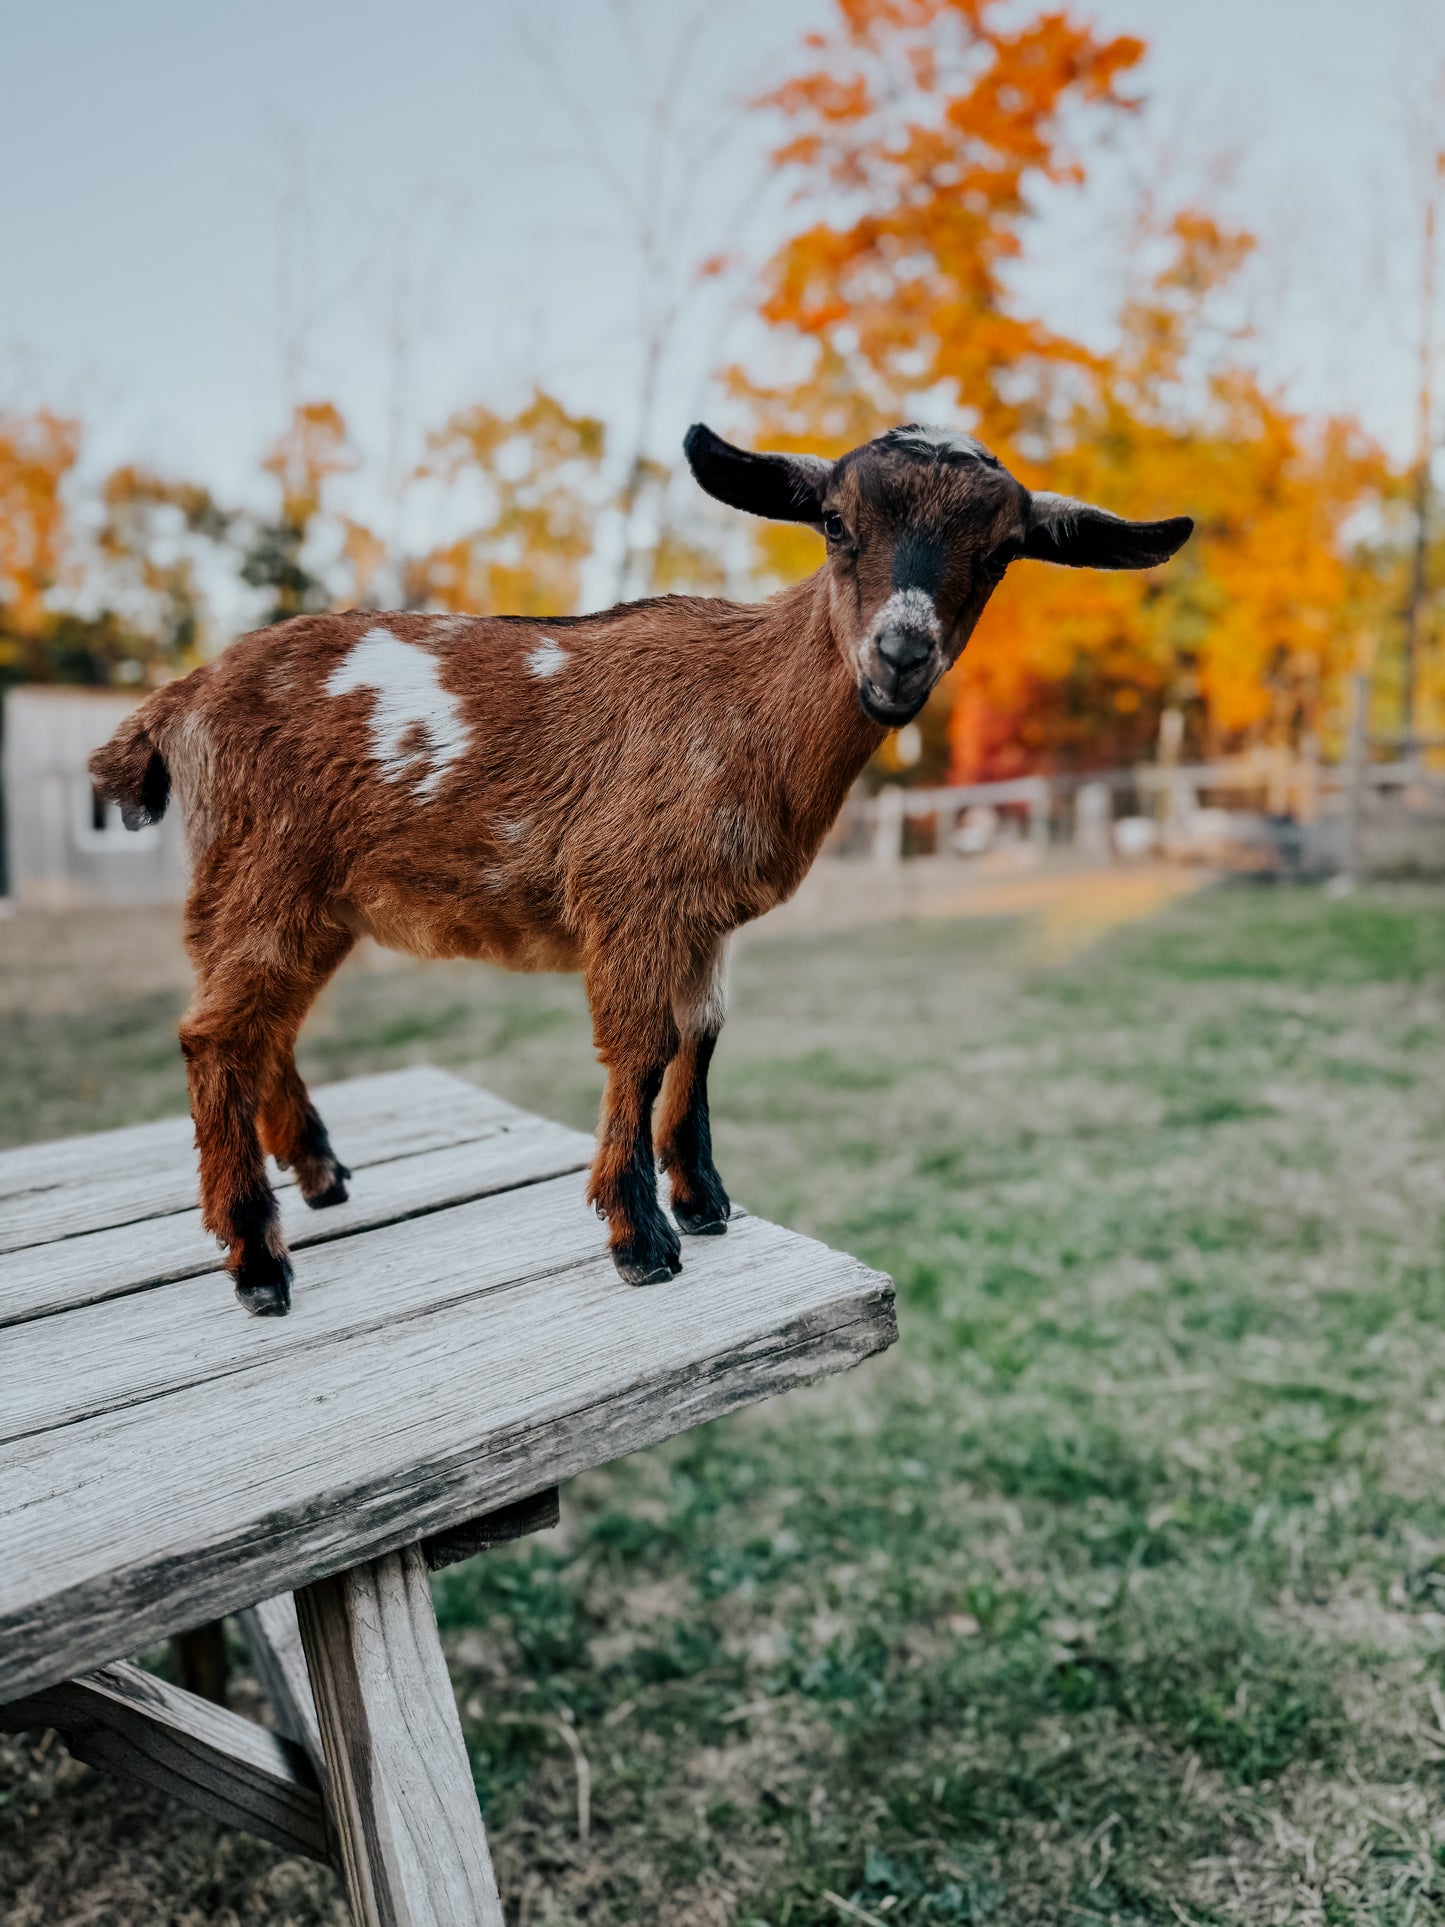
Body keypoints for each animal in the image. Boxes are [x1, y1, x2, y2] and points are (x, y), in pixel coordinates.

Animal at [90, 422, 1192, 1315]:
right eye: (835, 523)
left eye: (1002, 553)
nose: (900, 655)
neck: (747, 708)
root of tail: (179, 698)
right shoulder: (632, 895)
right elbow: (643, 1045)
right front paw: (639, 1238)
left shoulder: (703, 920)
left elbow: (700, 1037)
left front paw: (701, 1198)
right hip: (261, 872)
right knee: (212, 1037)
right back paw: (255, 1259)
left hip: (311, 899)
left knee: (261, 1026)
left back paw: (319, 1175)